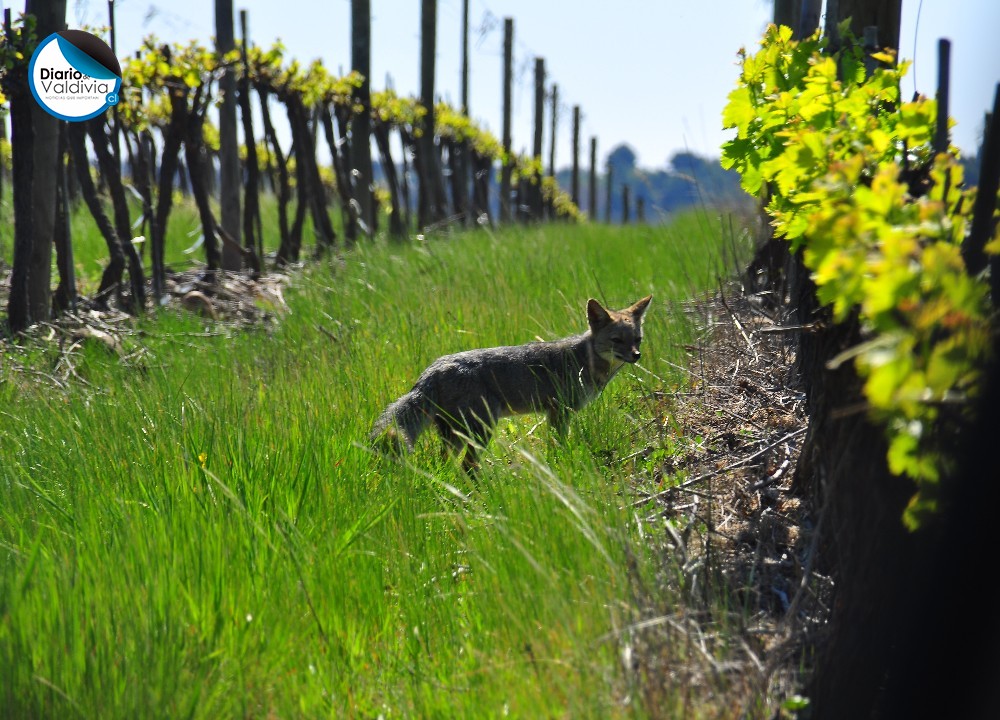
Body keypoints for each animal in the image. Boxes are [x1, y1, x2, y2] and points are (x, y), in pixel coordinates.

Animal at [372, 294, 652, 472]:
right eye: (617, 340)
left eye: (637, 339)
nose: (636, 356)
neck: (584, 359)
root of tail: (431, 371)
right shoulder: (559, 412)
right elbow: (559, 445)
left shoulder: (554, 413)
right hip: (481, 430)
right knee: (466, 466)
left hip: (457, 436)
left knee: (445, 462)